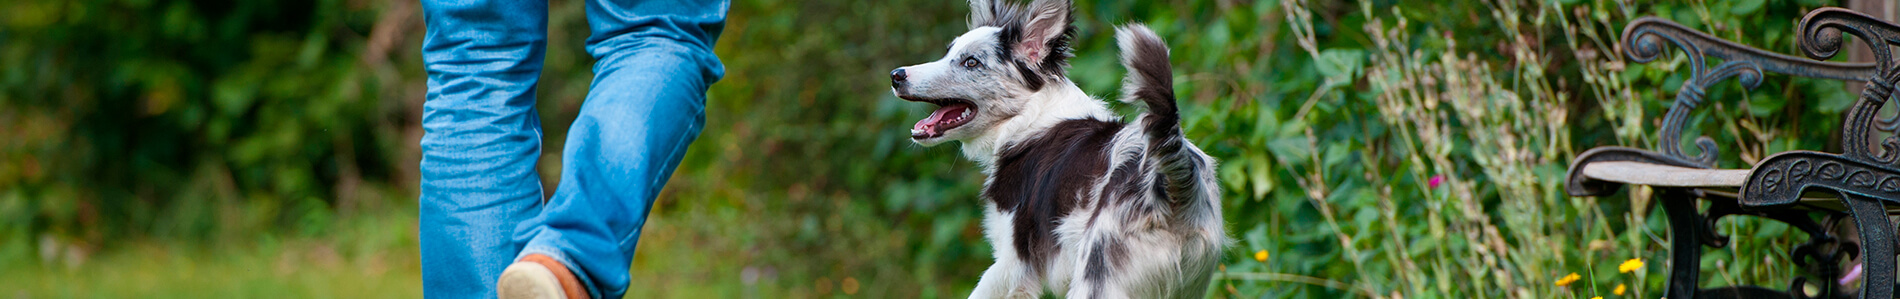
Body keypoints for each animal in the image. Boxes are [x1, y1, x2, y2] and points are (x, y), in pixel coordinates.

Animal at [885, 0, 1223, 297]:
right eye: (948, 53)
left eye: (971, 62)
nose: (896, 75)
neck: (1028, 117)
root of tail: (1174, 181)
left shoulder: (1011, 265)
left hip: (1095, 280)